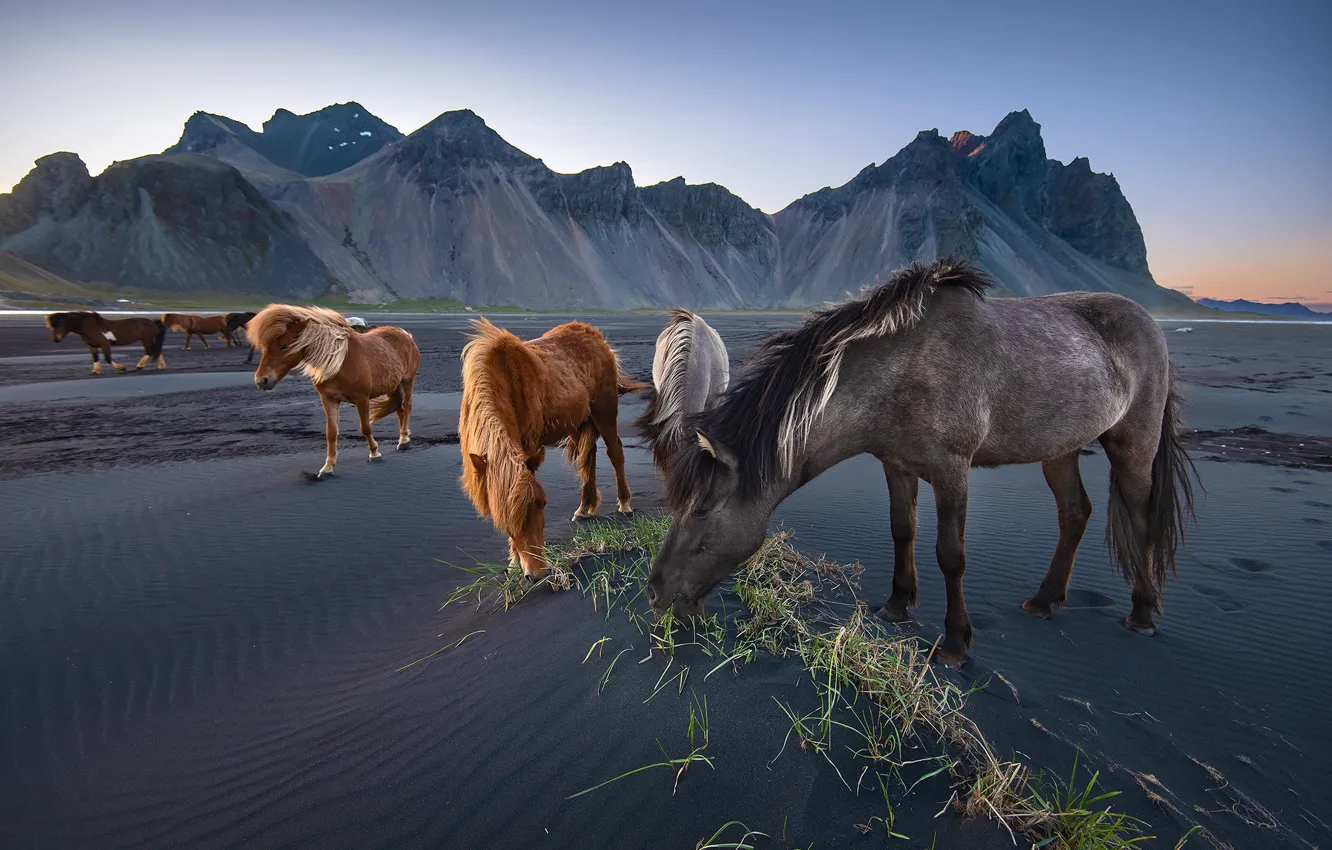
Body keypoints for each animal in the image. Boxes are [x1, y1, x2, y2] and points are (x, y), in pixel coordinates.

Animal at [248, 305, 420, 479]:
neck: (339, 362)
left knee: (407, 407)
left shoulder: (361, 399)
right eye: (265, 347)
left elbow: (365, 427)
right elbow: (331, 433)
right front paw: (327, 467)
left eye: (284, 346)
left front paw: (374, 453)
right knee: (399, 409)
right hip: (392, 386)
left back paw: (404, 441)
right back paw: (403, 439)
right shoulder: (328, 399)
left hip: (407, 381)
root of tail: (405, 334)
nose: (261, 380)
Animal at [459, 317, 645, 577]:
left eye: (543, 504)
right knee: (589, 458)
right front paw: (514, 560)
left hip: (605, 411)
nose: (536, 573)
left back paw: (624, 503)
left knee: (615, 452)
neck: (504, 380)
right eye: (503, 518)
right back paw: (584, 507)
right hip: (582, 420)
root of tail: (596, 337)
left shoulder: (528, 447)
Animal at [645, 257, 1197, 667]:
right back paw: (1044, 600)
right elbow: (901, 530)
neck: (904, 370)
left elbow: (950, 555)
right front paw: (896, 604)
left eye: (702, 512)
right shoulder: (896, 464)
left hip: (1133, 445)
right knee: (1075, 513)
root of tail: (1149, 323)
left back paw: (1142, 613)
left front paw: (954, 642)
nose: (655, 594)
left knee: (1140, 517)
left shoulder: (951, 472)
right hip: (1060, 448)